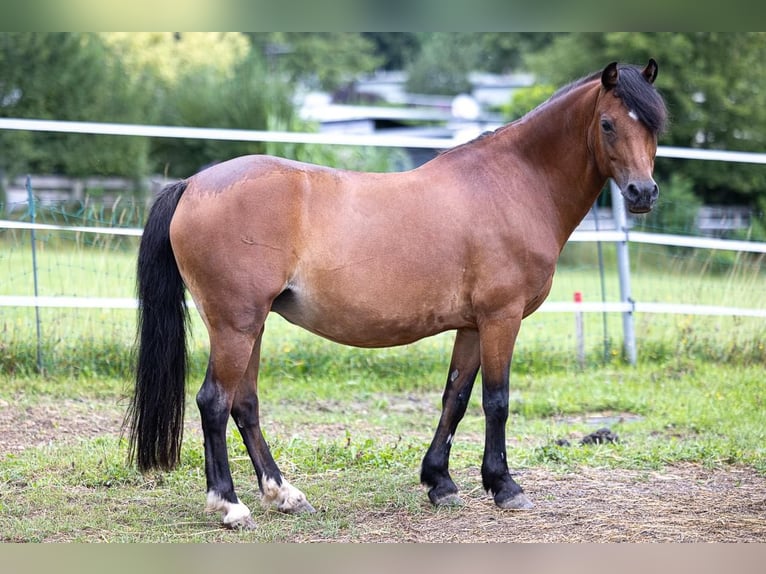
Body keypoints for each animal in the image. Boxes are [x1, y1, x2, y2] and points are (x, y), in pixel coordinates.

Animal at [126, 59, 664, 532]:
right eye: (608, 124)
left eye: (655, 124)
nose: (642, 193)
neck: (514, 184)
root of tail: (193, 184)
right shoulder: (501, 318)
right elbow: (497, 401)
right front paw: (505, 487)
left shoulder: (471, 326)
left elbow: (455, 398)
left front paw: (440, 482)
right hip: (234, 324)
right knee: (214, 402)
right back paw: (231, 506)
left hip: (250, 326)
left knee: (245, 405)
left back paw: (285, 494)